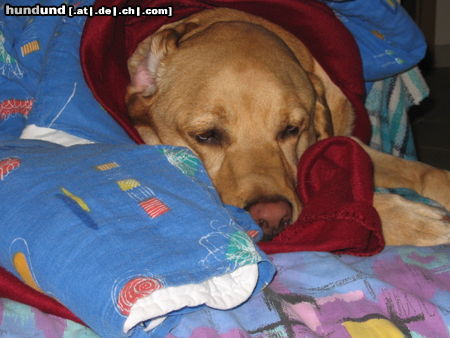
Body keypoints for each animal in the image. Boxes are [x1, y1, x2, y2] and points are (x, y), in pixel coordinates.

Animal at [125, 8, 450, 246]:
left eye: (291, 129)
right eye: (205, 135)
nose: (271, 218)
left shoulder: (346, 141)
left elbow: (425, 173)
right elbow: (344, 201)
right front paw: (411, 220)